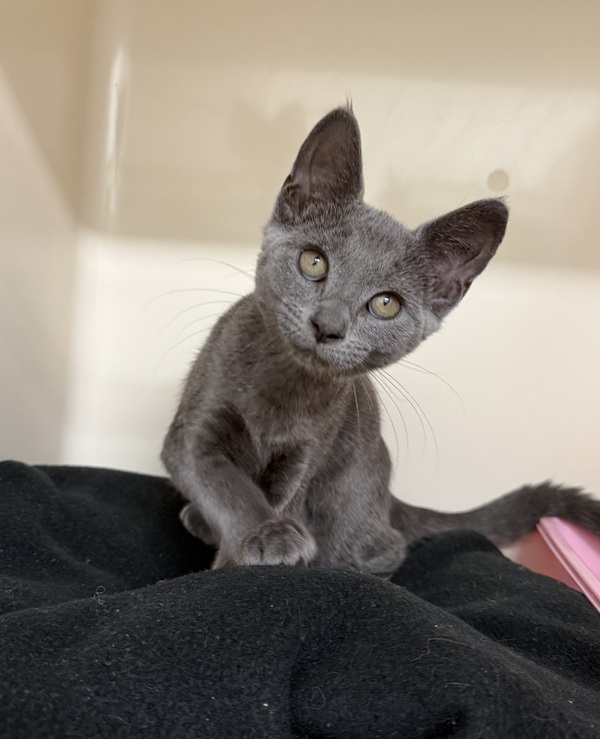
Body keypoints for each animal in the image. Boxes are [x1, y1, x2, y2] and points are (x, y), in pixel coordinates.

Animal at [161, 105, 600, 576]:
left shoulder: (307, 455)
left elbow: (281, 500)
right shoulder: (195, 427)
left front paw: (246, 560)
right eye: (313, 262)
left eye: (385, 304)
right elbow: (222, 483)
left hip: (347, 508)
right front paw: (264, 536)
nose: (327, 324)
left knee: (386, 549)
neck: (283, 392)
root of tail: (389, 494)